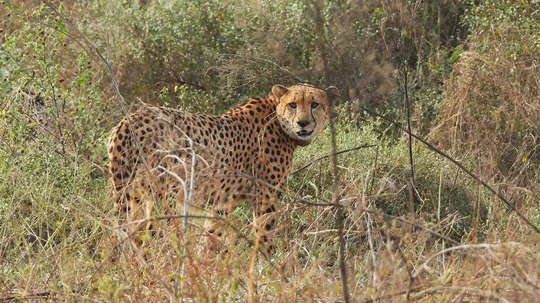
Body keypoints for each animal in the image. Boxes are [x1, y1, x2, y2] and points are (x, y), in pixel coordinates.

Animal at [107, 83, 338, 252]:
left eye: (315, 104)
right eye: (293, 105)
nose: (303, 123)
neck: (277, 119)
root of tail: (129, 120)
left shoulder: (222, 201)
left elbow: (212, 235)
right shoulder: (265, 198)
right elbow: (264, 235)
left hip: (133, 195)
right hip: (163, 196)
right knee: (151, 235)